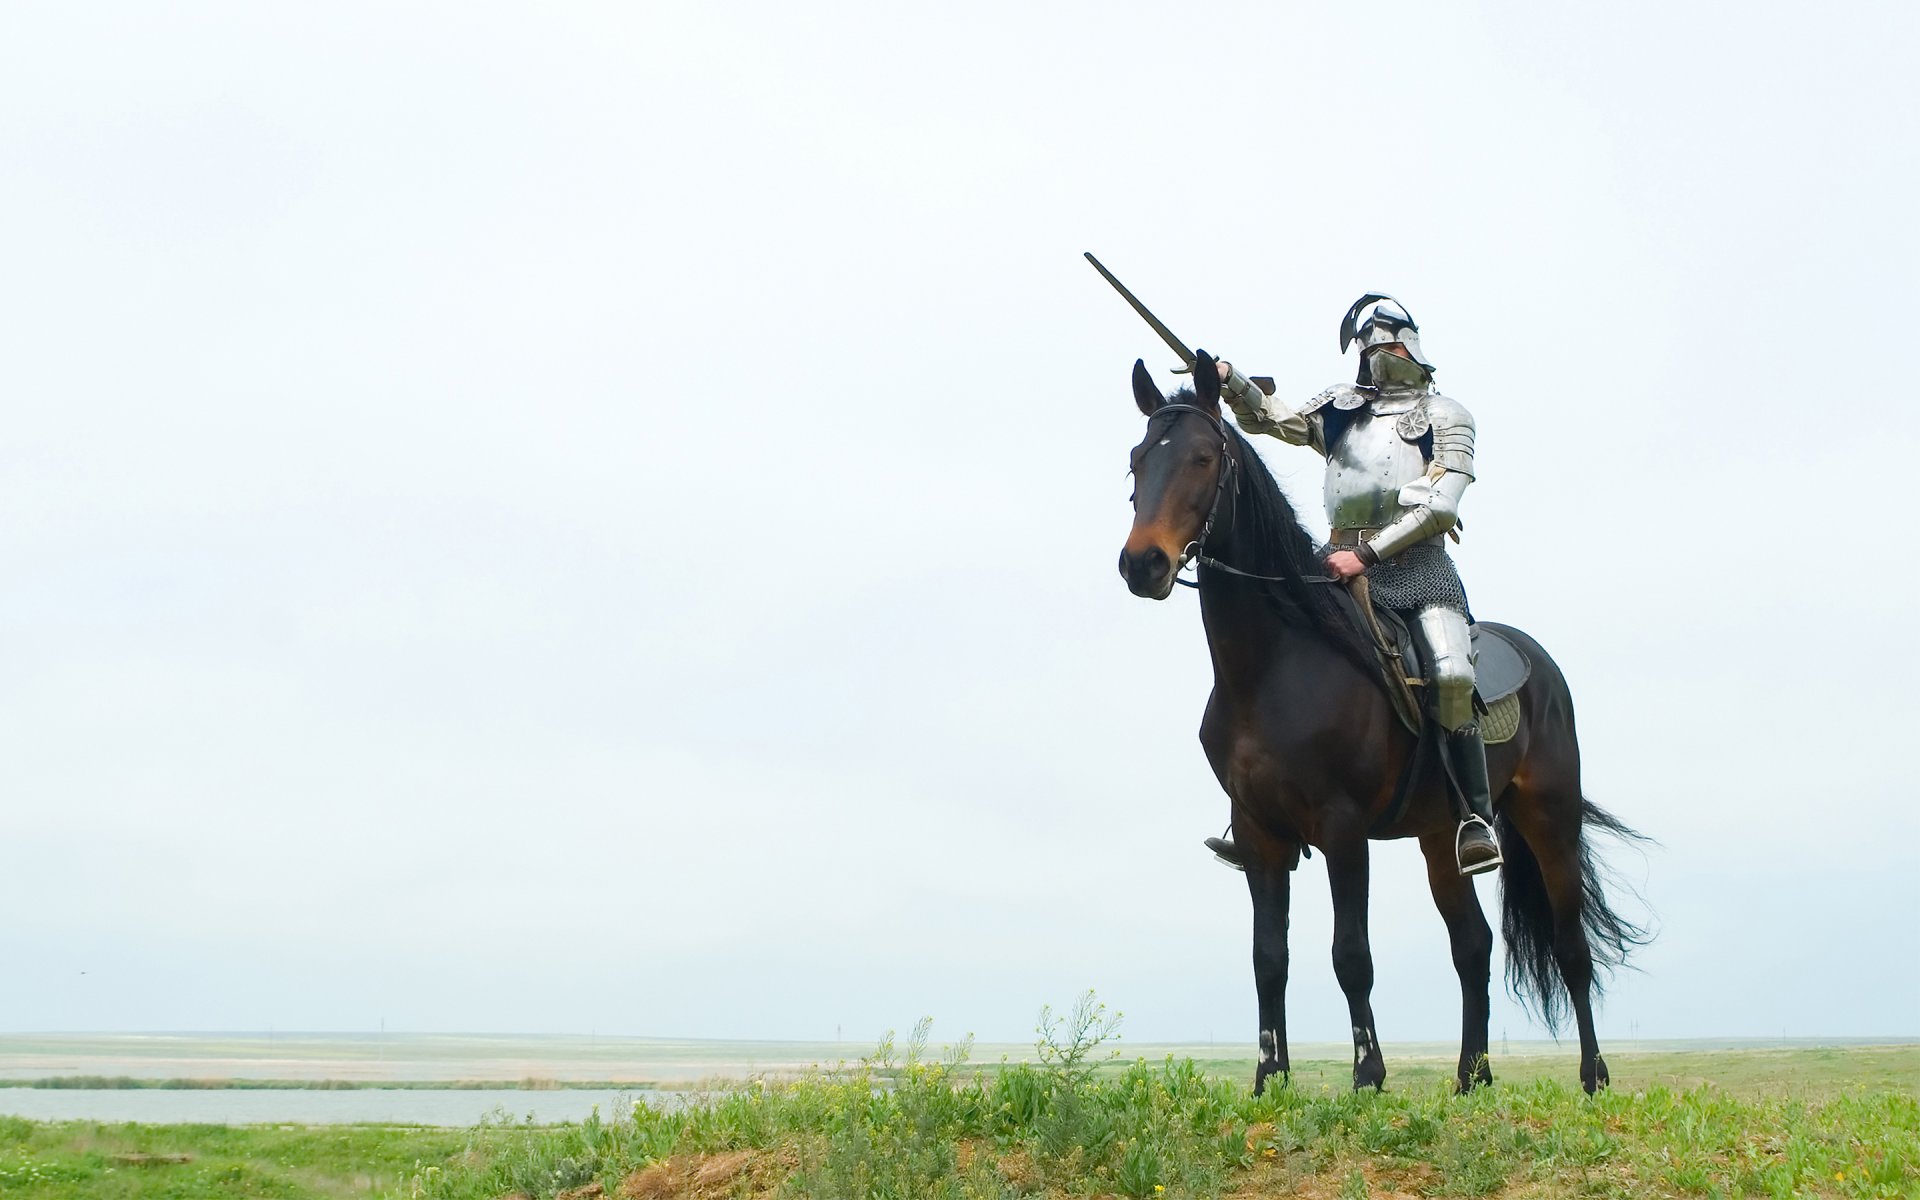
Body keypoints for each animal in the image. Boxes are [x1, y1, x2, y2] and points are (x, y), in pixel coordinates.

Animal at [1121, 349, 1643, 1098]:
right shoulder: (1260, 836)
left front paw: (1368, 1073)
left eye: (1200, 458)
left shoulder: (1343, 830)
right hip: (1440, 838)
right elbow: (1268, 957)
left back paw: (1593, 1076)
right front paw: (1269, 1077)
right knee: (1472, 946)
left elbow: (1351, 954)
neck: (1274, 663)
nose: (1143, 564)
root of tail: (1539, 664)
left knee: (1571, 947)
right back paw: (1471, 1078)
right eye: (1137, 461)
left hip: (1551, 820)